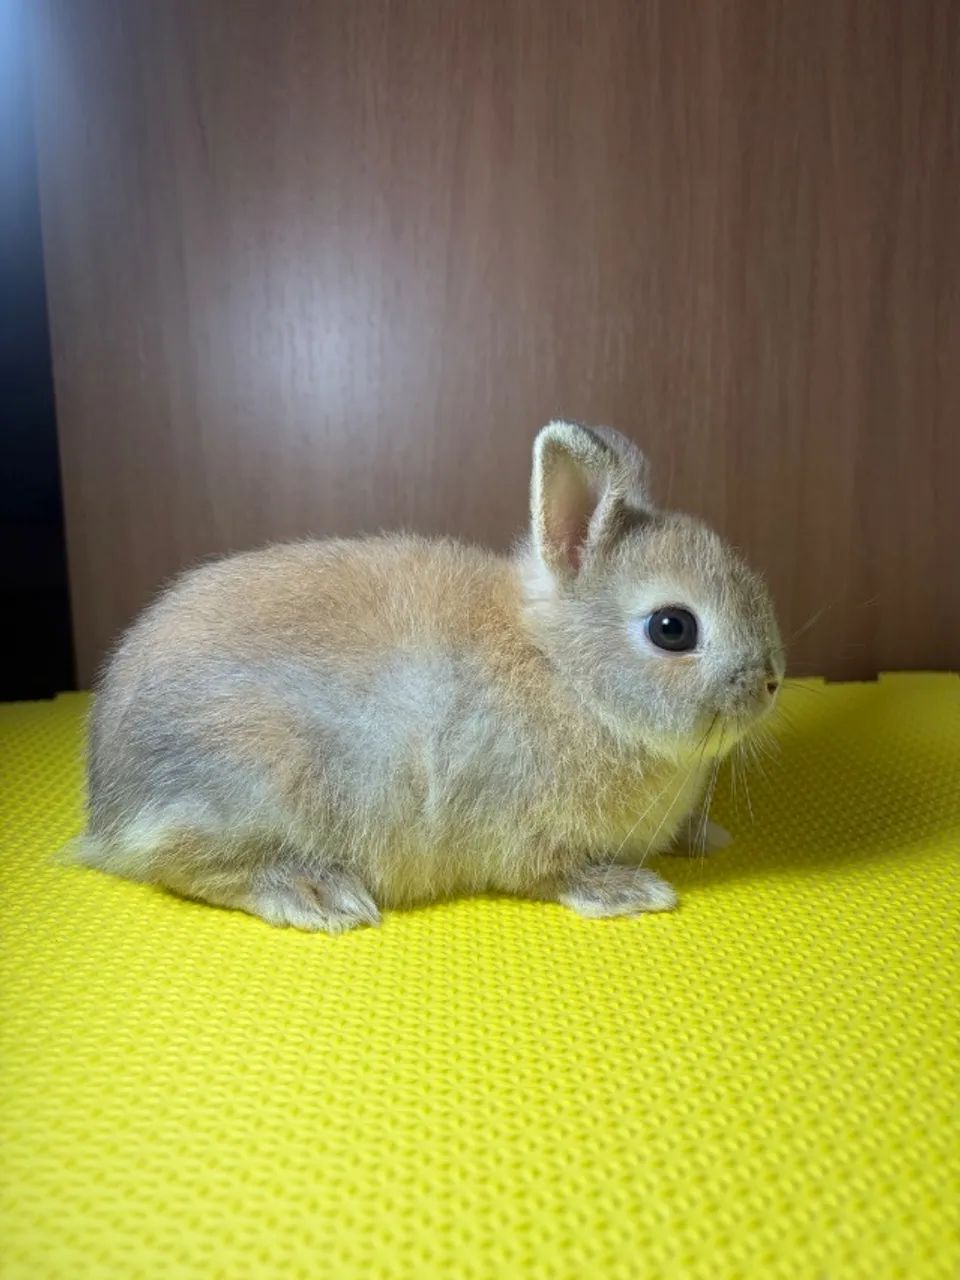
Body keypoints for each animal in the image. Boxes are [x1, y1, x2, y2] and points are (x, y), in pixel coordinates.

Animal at [73, 421, 784, 932]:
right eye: (673, 628)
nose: (774, 679)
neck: (565, 674)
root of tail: (108, 810)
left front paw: (707, 837)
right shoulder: (523, 831)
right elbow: (553, 874)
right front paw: (629, 891)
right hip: (258, 774)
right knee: (182, 860)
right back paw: (315, 893)